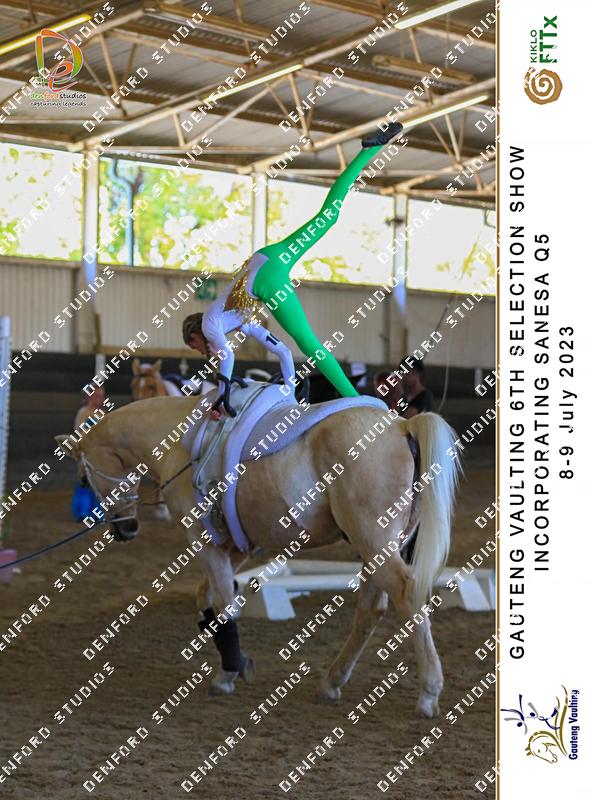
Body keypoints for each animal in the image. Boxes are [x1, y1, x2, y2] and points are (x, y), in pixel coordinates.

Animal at [55, 392, 460, 718]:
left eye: (84, 477)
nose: (125, 530)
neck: (184, 443)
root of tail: (403, 426)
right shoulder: (235, 547)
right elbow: (207, 597)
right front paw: (228, 653)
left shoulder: (205, 540)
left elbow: (223, 602)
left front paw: (228, 672)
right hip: (377, 546)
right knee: (372, 609)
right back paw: (332, 681)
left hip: (372, 540)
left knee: (406, 594)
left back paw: (428, 694)